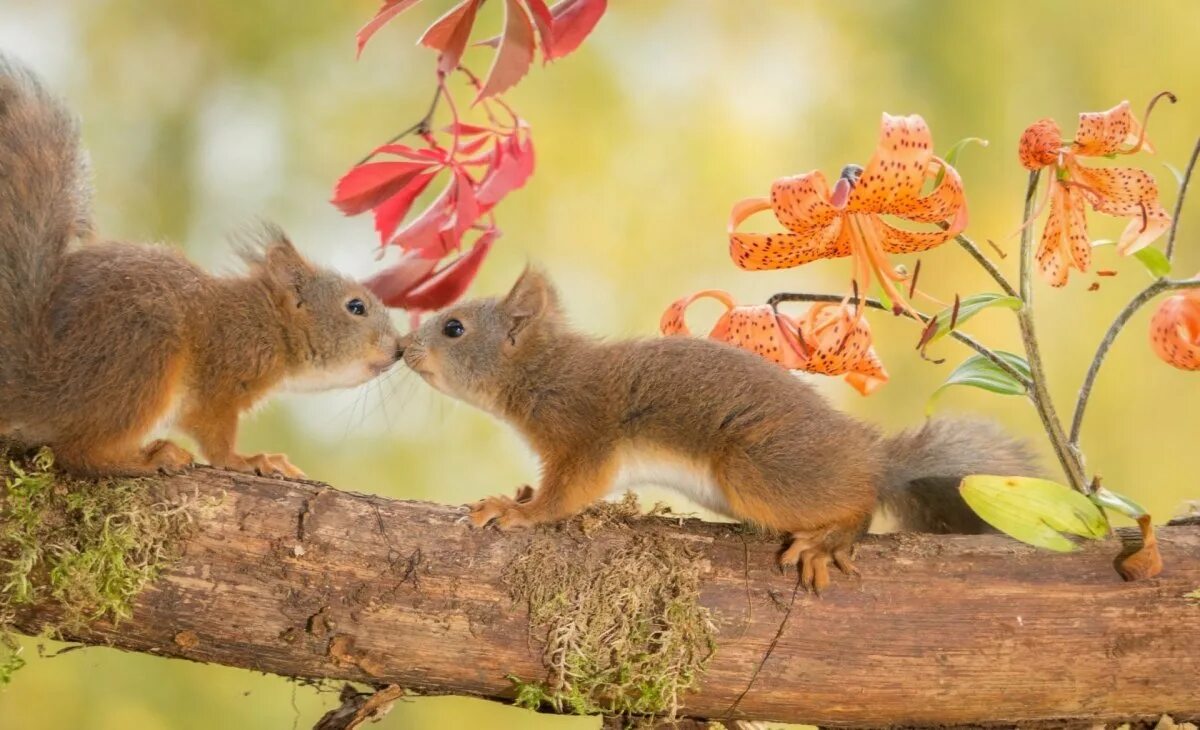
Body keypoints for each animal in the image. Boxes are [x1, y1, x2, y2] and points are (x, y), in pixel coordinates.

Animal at [0, 58, 405, 480]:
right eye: (355, 307)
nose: (399, 348)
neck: (268, 324)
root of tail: (38, 384)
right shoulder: (222, 378)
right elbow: (213, 432)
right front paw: (247, 460)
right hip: (144, 358)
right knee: (77, 451)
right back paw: (149, 457)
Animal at [398, 267, 1036, 593]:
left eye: (453, 328)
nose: (403, 348)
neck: (542, 371)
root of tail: (873, 457)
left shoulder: (584, 431)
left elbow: (568, 494)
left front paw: (518, 510)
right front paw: (521, 492)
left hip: (758, 470)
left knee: (858, 504)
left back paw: (829, 539)